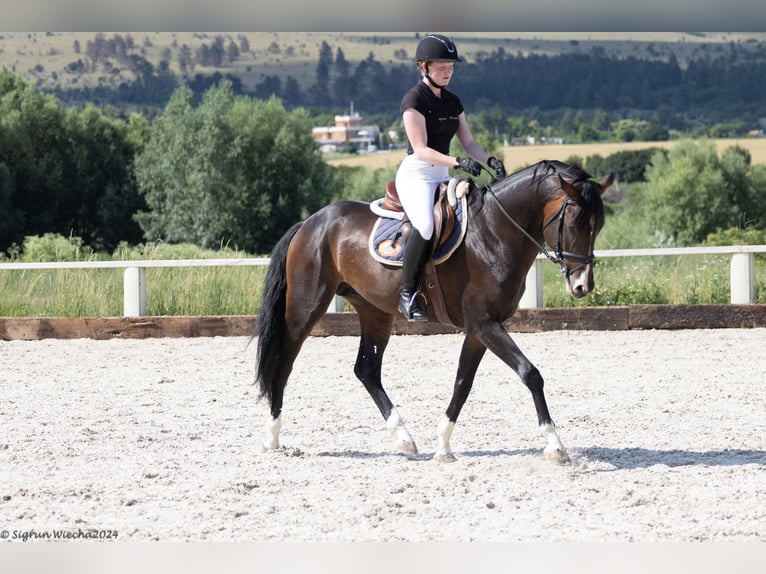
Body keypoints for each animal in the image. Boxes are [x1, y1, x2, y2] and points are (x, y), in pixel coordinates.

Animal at [255, 160, 616, 466]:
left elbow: (462, 384)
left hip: (374, 312)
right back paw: (273, 438)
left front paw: (443, 446)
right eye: (574, 224)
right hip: (306, 307)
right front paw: (556, 446)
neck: (495, 232)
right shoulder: (485, 324)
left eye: (599, 225)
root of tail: (311, 222)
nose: (582, 286)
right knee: (283, 363)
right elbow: (530, 374)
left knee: (367, 370)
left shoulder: (479, 329)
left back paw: (404, 439)